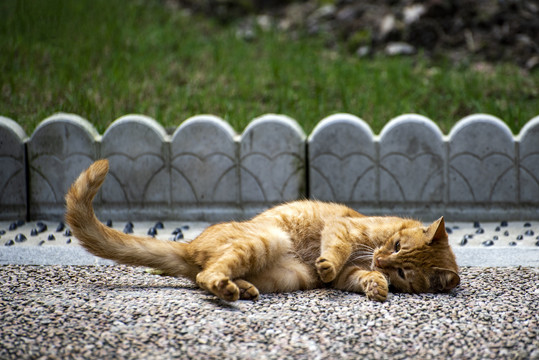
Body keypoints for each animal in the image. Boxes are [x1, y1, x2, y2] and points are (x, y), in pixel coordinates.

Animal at [64, 160, 460, 300]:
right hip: (268, 240)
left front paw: (377, 286)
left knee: (207, 277)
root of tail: (189, 247)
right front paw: (336, 263)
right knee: (207, 275)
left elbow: (359, 277)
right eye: (396, 246)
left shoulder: (348, 275)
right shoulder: (343, 229)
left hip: (287, 275)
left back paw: (238, 288)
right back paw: (230, 289)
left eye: (404, 273)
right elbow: (336, 252)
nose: (382, 261)